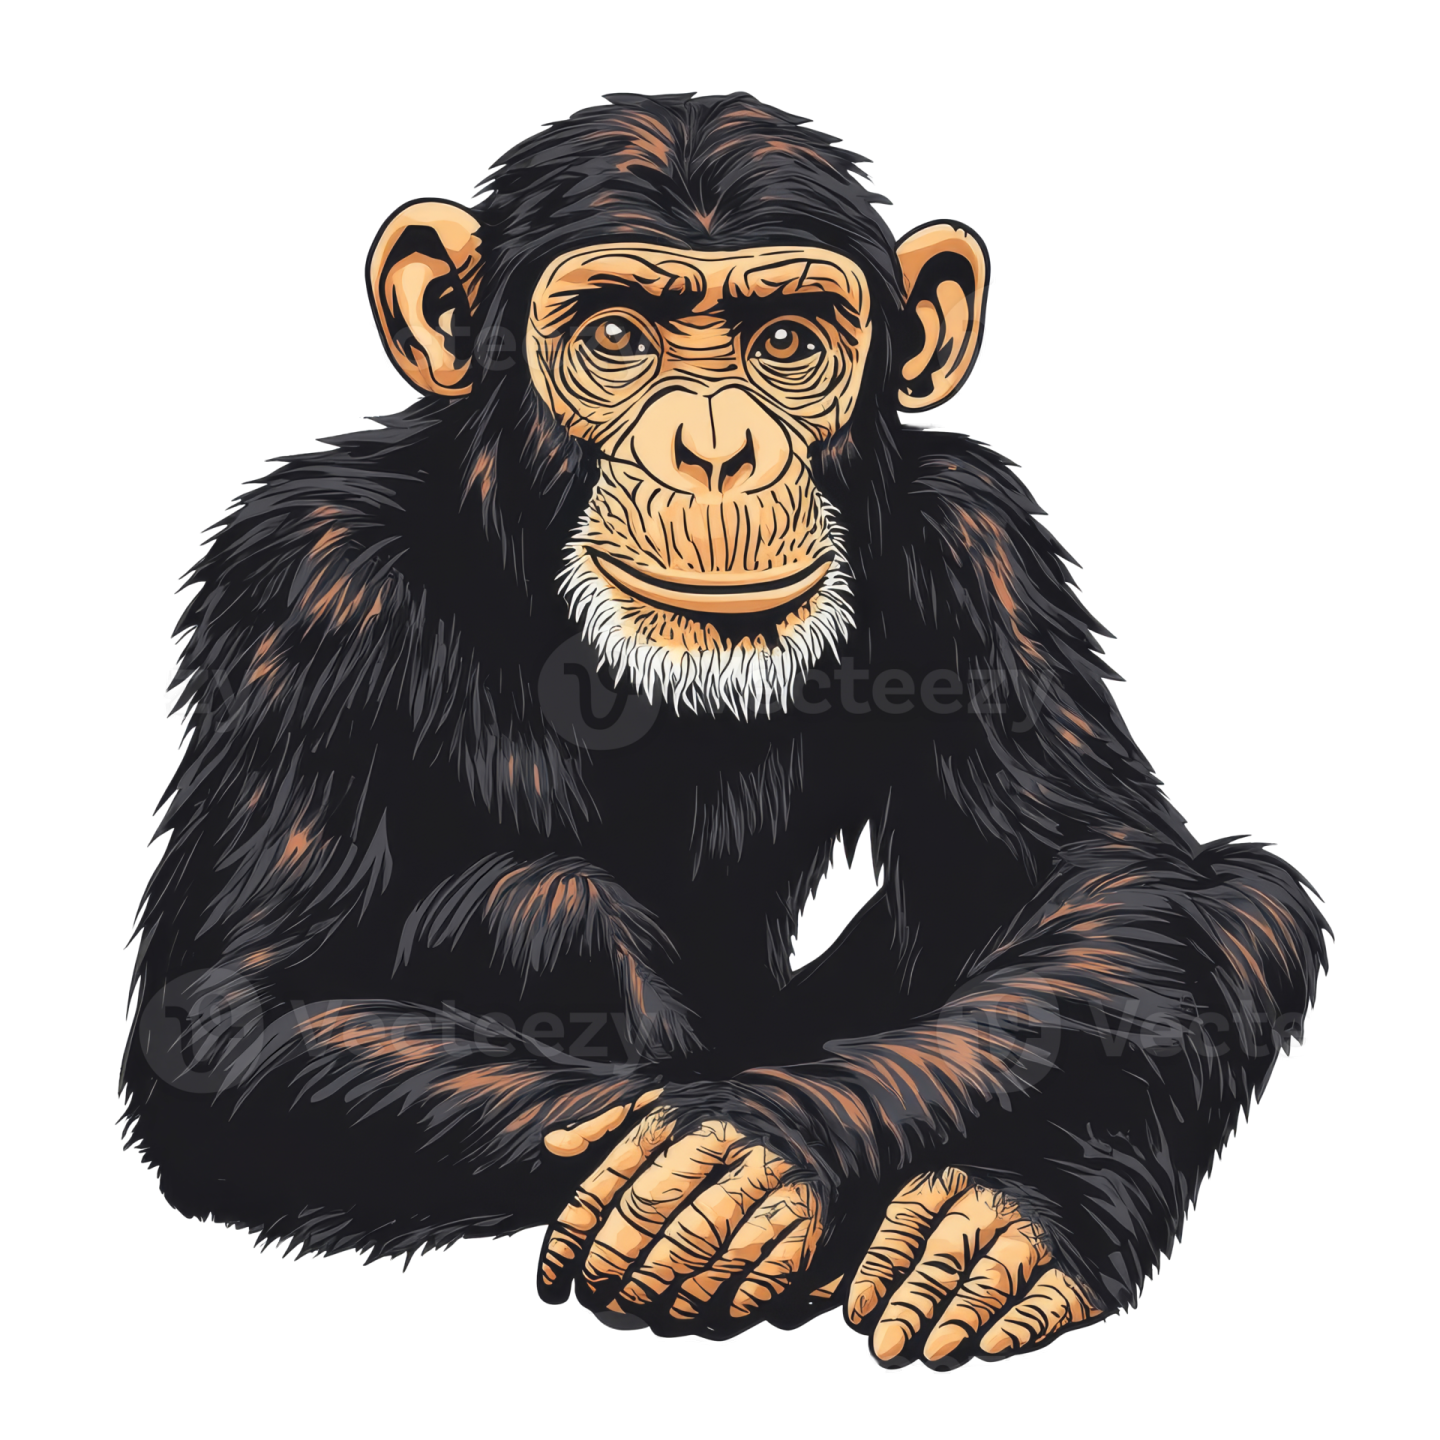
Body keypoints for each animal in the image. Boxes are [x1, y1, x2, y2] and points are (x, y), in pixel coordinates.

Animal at [120, 92, 1327, 1365]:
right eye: (617, 336)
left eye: (787, 342)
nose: (714, 447)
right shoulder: (302, 576)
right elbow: (232, 1010)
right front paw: (716, 1167)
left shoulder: (981, 538)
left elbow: (1101, 874)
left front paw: (762, 1143)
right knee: (543, 899)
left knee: (1242, 897)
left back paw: (1006, 1230)